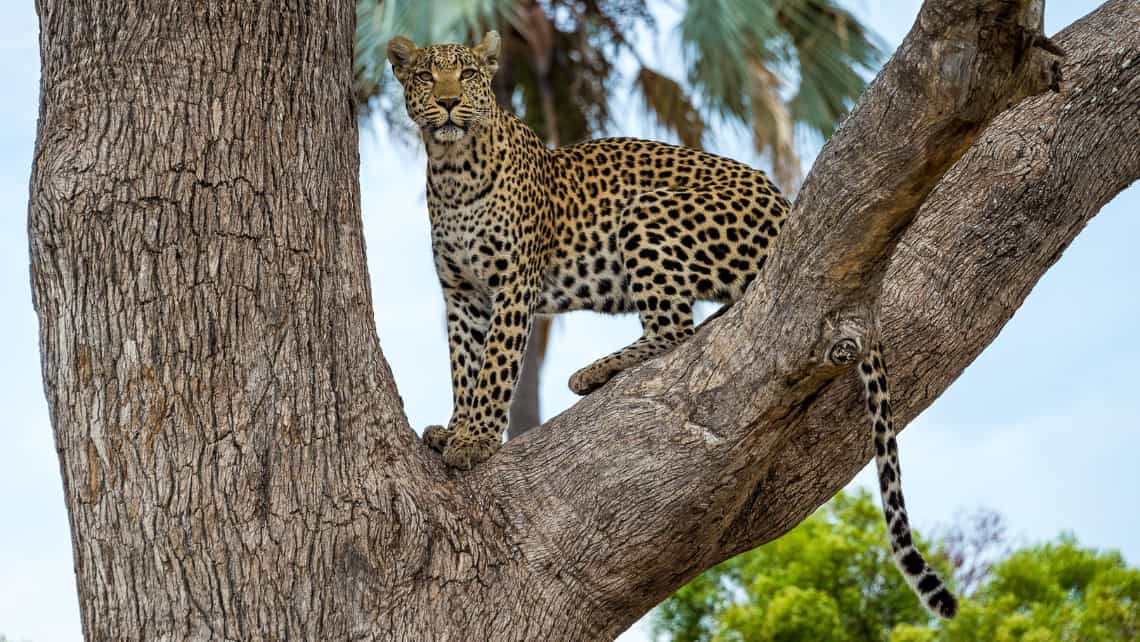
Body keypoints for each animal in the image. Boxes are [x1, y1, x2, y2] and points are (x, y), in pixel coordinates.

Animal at [387, 31, 957, 615]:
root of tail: (786, 203)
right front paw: (455, 427)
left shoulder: (512, 286)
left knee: (676, 330)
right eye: (426, 76)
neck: (453, 169)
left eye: (469, 75)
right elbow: (464, 366)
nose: (449, 102)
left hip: (649, 211)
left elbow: (496, 368)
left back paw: (593, 372)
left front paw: (476, 440)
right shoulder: (462, 297)